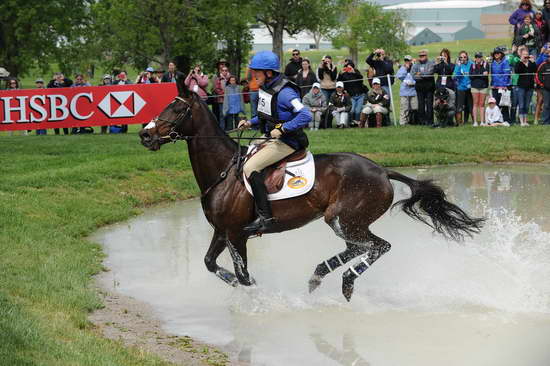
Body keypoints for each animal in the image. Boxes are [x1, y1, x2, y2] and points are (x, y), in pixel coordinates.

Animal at [139, 78, 488, 302]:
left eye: (176, 109)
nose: (145, 135)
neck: (223, 171)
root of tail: (382, 170)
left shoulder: (237, 233)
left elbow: (242, 273)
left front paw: (253, 295)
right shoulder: (222, 231)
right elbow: (211, 264)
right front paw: (241, 287)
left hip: (343, 218)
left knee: (378, 246)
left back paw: (345, 281)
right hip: (346, 221)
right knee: (358, 247)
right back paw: (319, 275)